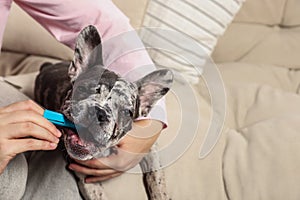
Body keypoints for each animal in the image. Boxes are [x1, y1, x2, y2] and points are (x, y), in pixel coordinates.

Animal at [34, 25, 173, 199]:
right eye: (82, 89)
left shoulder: (148, 150)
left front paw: (161, 194)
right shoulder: (88, 181)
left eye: (126, 112)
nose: (99, 112)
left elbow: (157, 179)